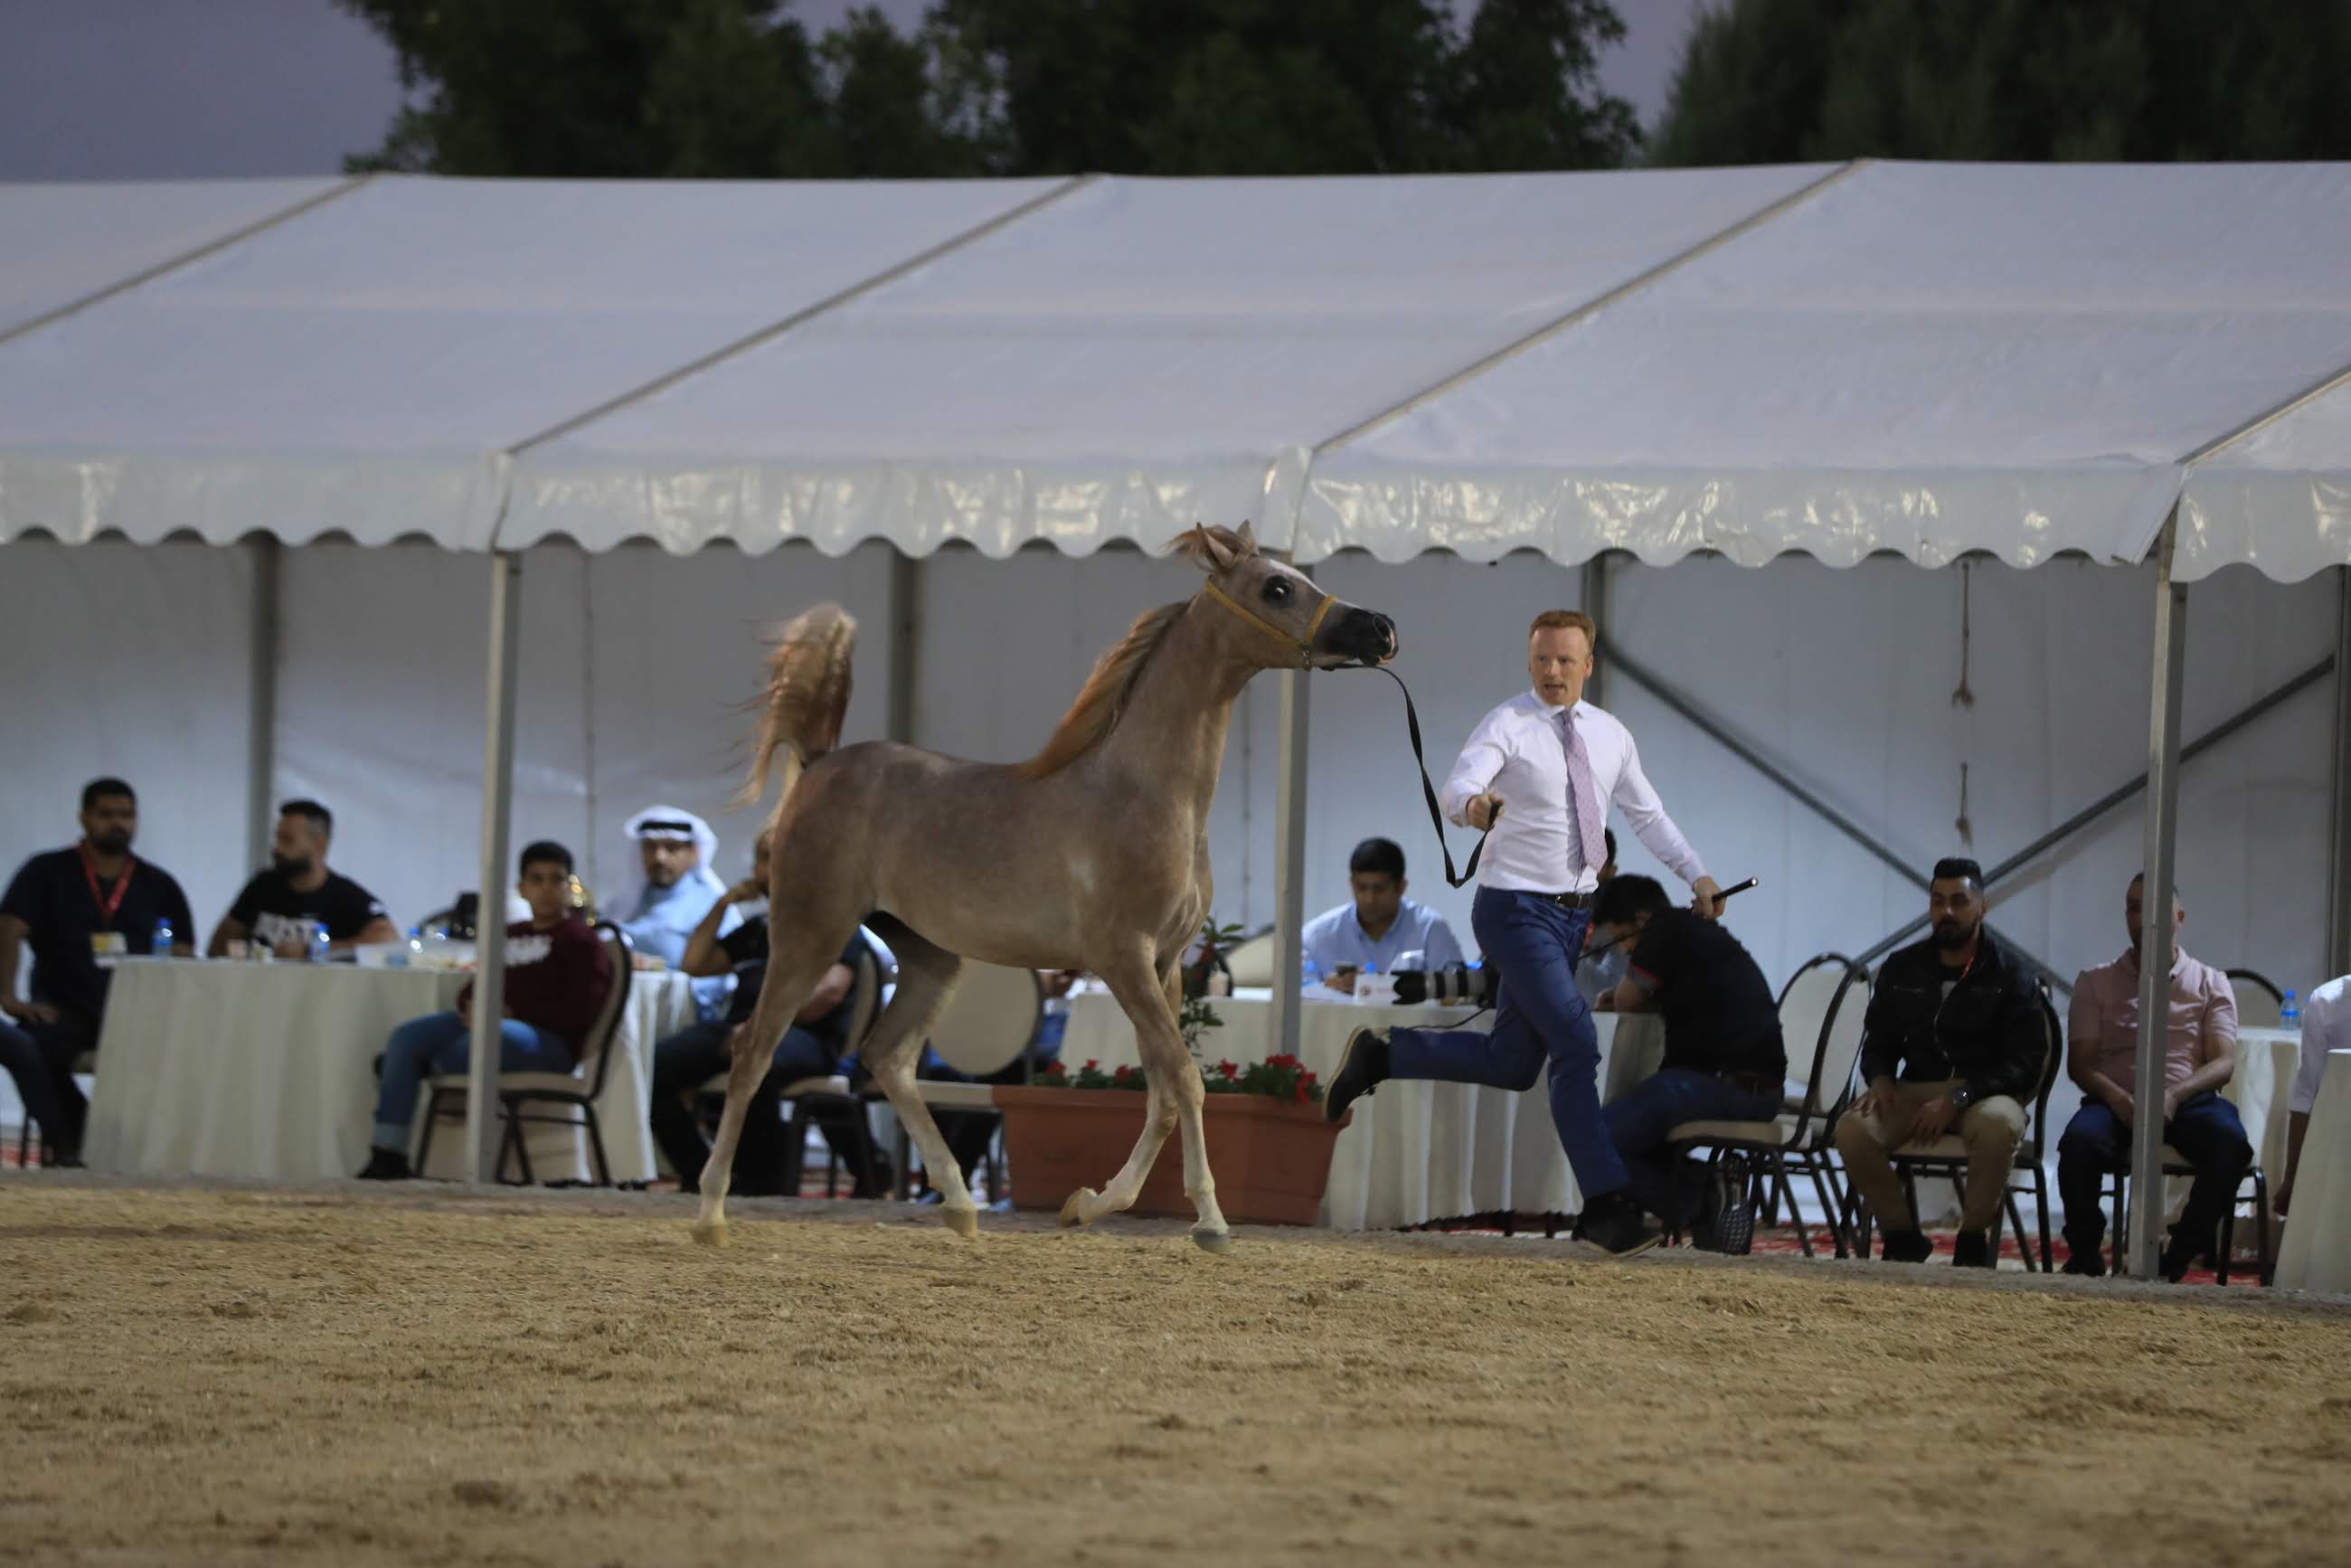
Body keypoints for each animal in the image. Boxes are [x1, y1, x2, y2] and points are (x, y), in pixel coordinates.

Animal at [693, 521, 1397, 1252]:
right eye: (1277, 587)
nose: (1380, 628)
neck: (1147, 793)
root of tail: (819, 764)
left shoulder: (1166, 967)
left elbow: (1162, 1094)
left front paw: (1086, 1203)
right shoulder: (1124, 961)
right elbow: (1184, 1080)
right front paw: (1209, 1221)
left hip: (928, 956)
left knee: (887, 1057)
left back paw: (959, 1204)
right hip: (810, 934)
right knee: (753, 1054)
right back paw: (711, 1216)